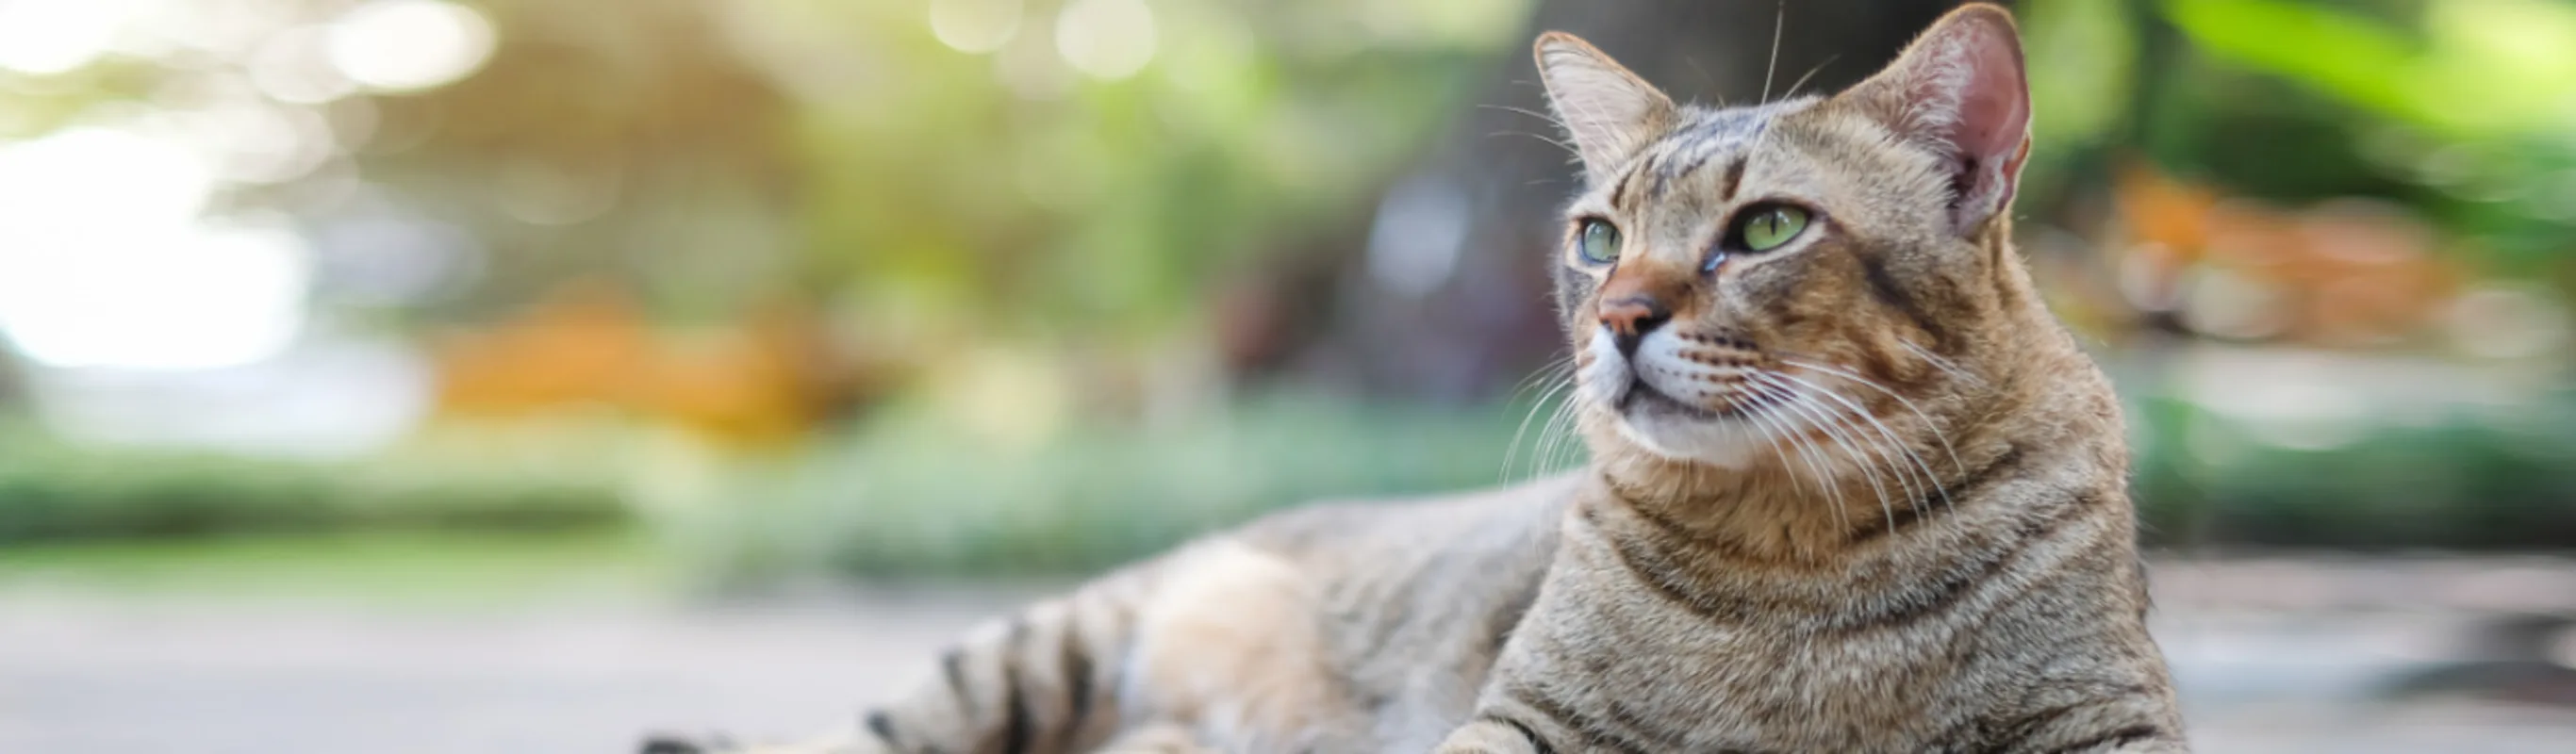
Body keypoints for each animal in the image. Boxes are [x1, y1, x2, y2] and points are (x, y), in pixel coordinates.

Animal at [653, 6, 2184, 751]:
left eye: (1763, 229)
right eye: (1598, 235)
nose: (1617, 314)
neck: (1802, 549)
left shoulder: (2101, 717)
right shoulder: (1527, 720)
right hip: (1051, 644)